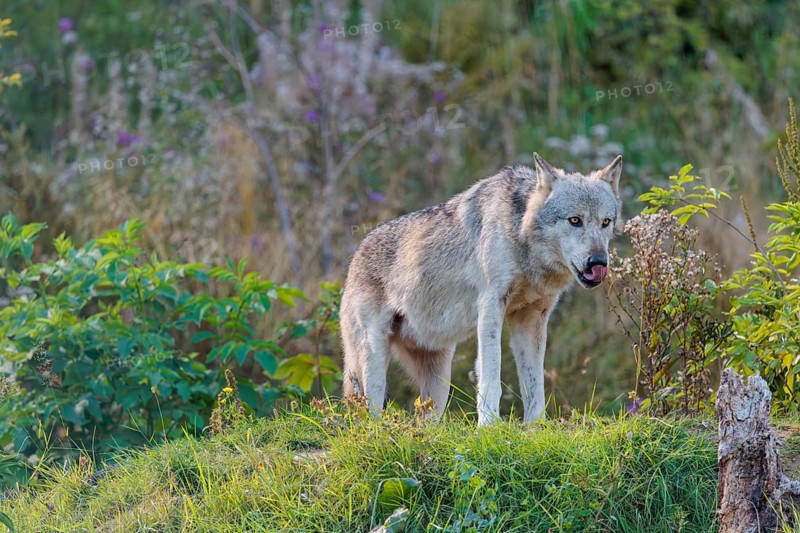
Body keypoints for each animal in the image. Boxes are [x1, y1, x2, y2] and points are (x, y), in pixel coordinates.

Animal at [340, 153, 623, 425]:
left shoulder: (531, 318)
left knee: (426, 419)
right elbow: (491, 374)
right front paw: (488, 424)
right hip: (374, 358)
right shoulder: (491, 307)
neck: (520, 237)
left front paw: (536, 425)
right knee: (370, 407)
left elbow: (534, 384)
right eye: (575, 220)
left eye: (606, 222)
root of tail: (355, 256)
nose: (598, 262)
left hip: (439, 376)